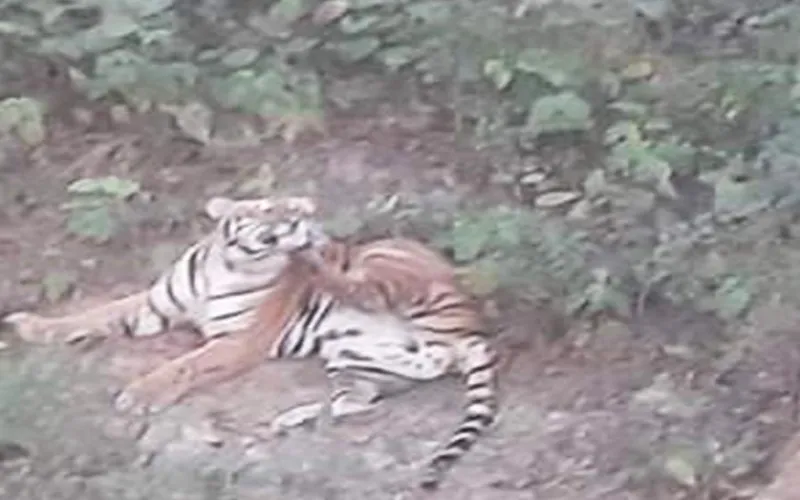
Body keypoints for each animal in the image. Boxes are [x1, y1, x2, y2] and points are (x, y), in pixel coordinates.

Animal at [3, 195, 499, 490]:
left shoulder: (237, 341)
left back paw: (317, 259)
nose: (300, 219)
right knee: (360, 400)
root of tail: (473, 324)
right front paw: (32, 327)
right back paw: (294, 419)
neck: (229, 264)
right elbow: (93, 315)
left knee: (363, 289)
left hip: (384, 259)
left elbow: (183, 364)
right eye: (268, 208)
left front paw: (140, 395)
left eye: (295, 208)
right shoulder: (152, 305)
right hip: (354, 357)